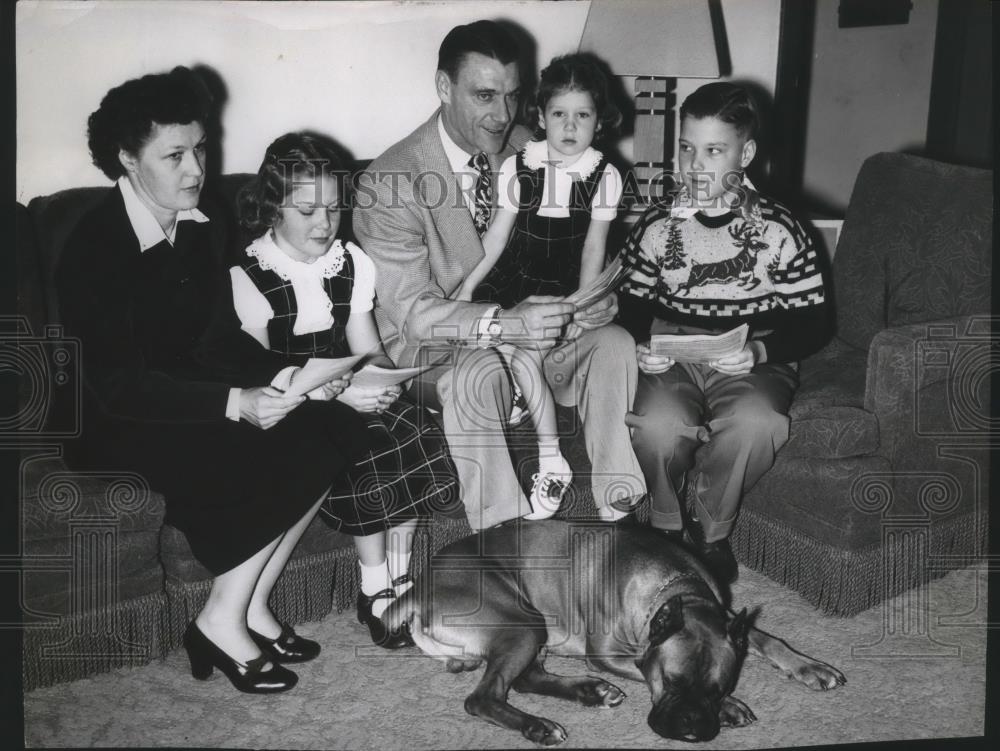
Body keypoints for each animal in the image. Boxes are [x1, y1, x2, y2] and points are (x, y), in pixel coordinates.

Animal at [382, 524, 844, 748]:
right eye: (671, 682)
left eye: (717, 687)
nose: (692, 727)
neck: (677, 588)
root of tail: (418, 588)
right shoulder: (607, 654)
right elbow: (642, 666)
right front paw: (732, 709)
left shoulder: (729, 617)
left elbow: (768, 640)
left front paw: (810, 667)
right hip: (523, 624)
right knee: (484, 696)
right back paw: (540, 726)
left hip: (530, 631)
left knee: (525, 678)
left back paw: (590, 692)